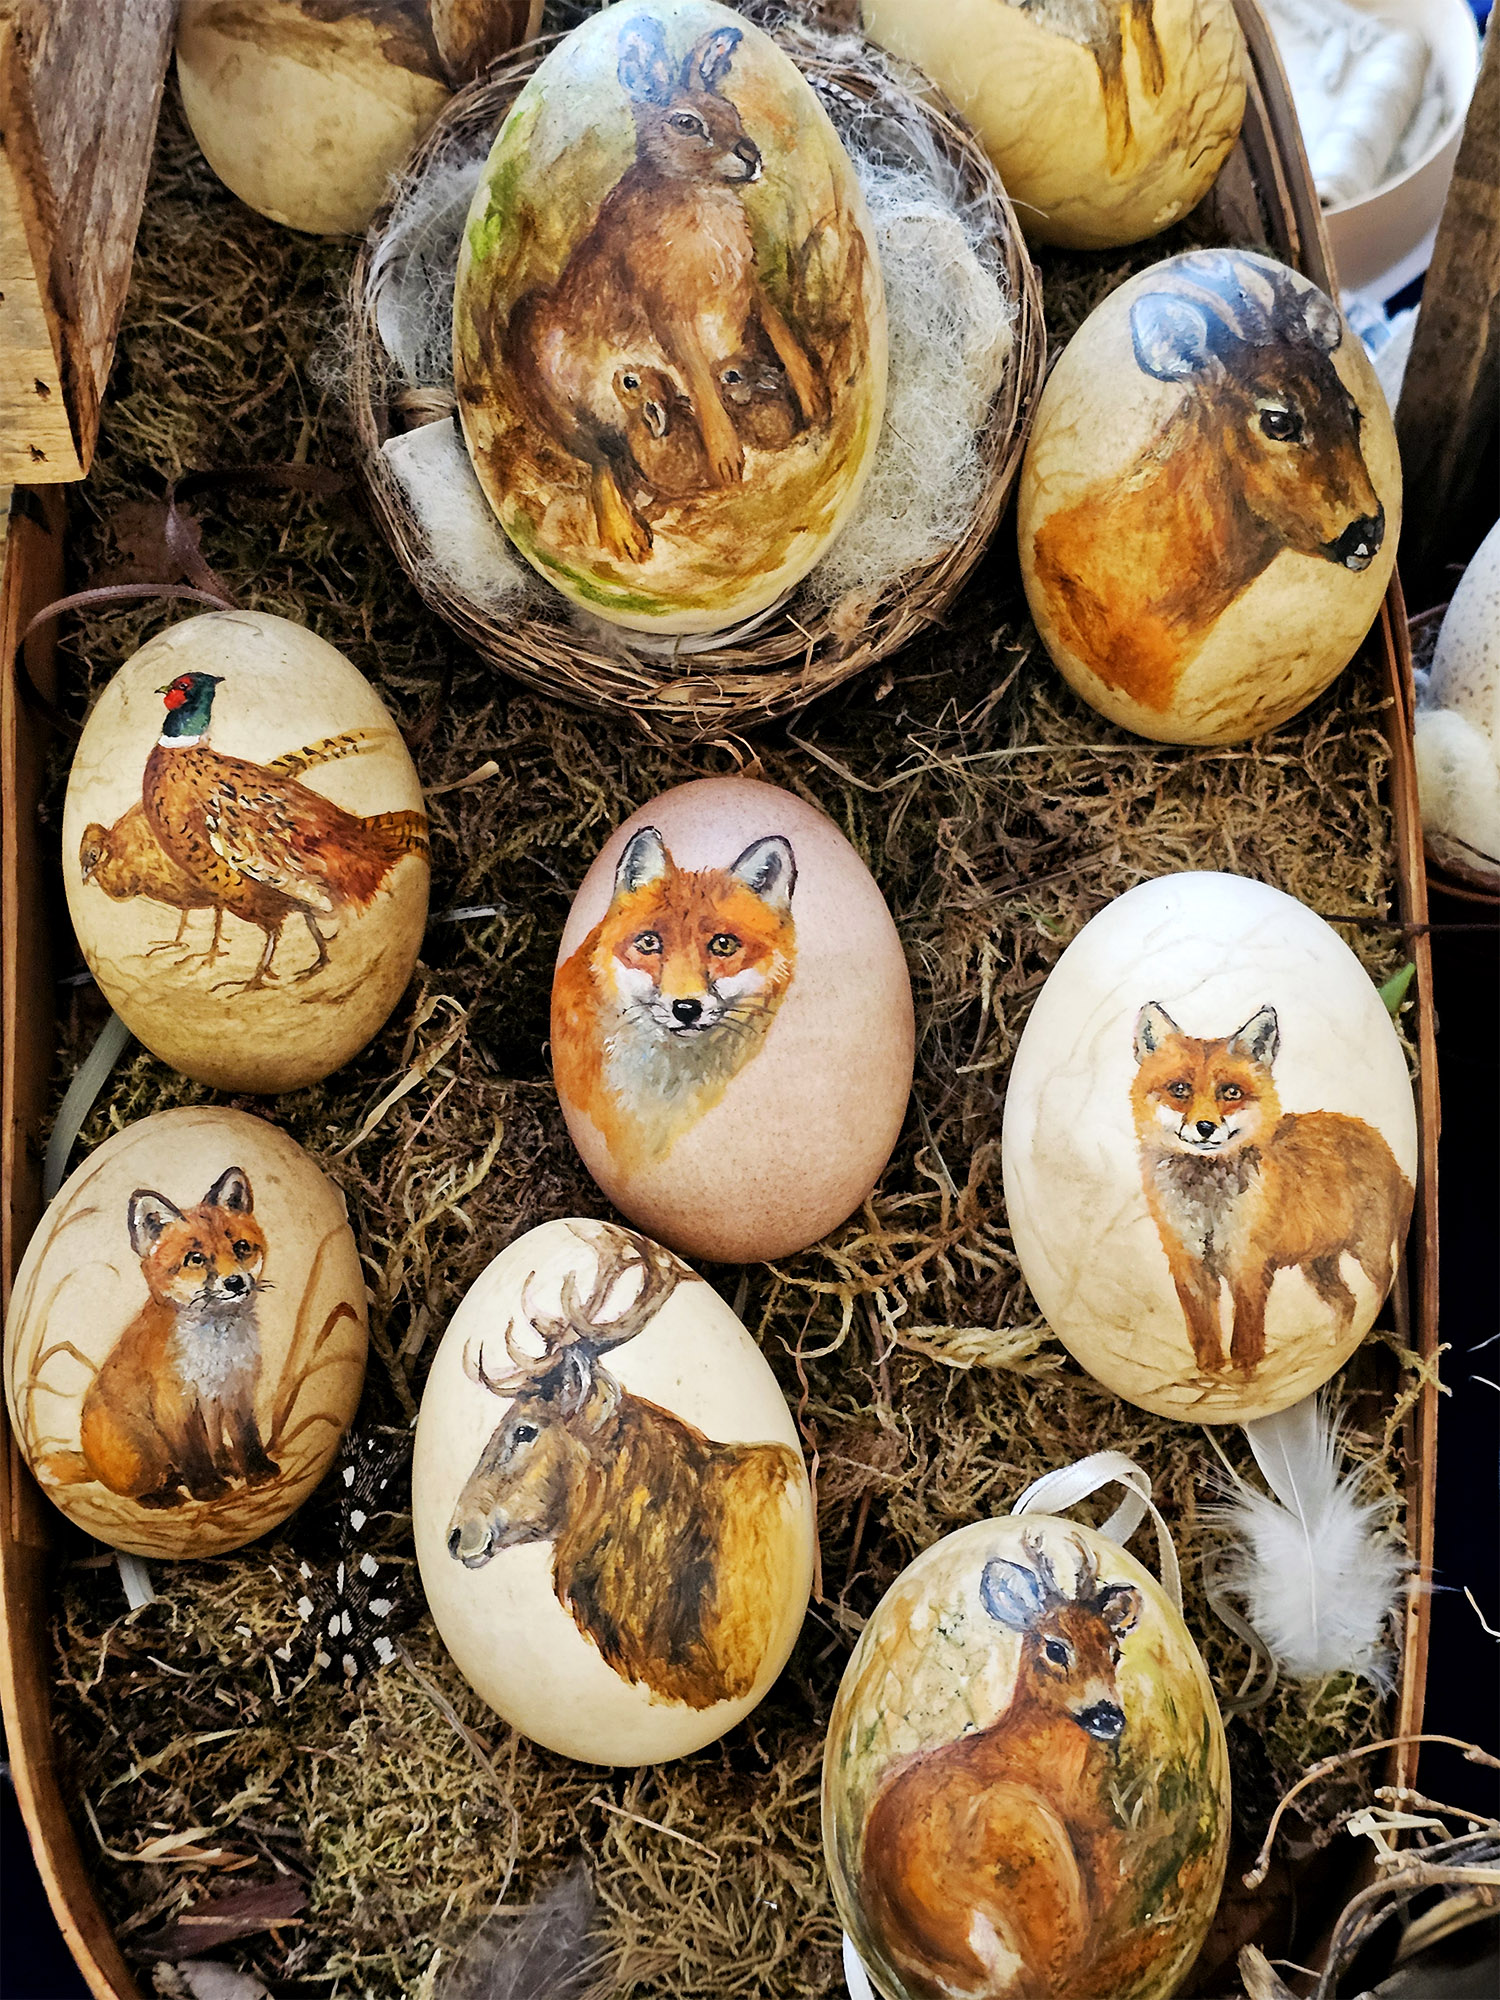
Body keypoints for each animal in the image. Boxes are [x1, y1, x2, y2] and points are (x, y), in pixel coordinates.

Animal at [72, 1167, 279, 1507]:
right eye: (195, 1258)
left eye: (241, 1247)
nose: (235, 1282)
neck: (216, 1352)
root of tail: (90, 1463)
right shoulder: (175, 1402)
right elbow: (193, 1453)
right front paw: (209, 1490)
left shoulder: (237, 1388)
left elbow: (247, 1437)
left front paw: (259, 1472)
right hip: (141, 1456)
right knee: (141, 1489)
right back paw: (165, 1497)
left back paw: (223, 1467)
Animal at [500, 14, 826, 565]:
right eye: (687, 123)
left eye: (733, 112)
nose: (752, 156)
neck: (697, 192)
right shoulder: (667, 311)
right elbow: (697, 373)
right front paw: (727, 459)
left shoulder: (747, 285)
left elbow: (780, 331)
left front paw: (814, 396)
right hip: (540, 359)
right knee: (598, 461)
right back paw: (626, 538)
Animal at [1131, 1002, 1413, 1376]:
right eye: (1180, 1089)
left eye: (1231, 1092)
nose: (1205, 1127)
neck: (1207, 1206)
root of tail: (1383, 1144)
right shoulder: (1189, 1264)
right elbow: (1203, 1332)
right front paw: (1209, 1373)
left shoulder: (1248, 1265)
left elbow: (1246, 1335)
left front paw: (1244, 1375)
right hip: (1319, 1267)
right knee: (1348, 1303)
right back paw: (1331, 1349)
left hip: (1369, 1253)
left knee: (1375, 1292)